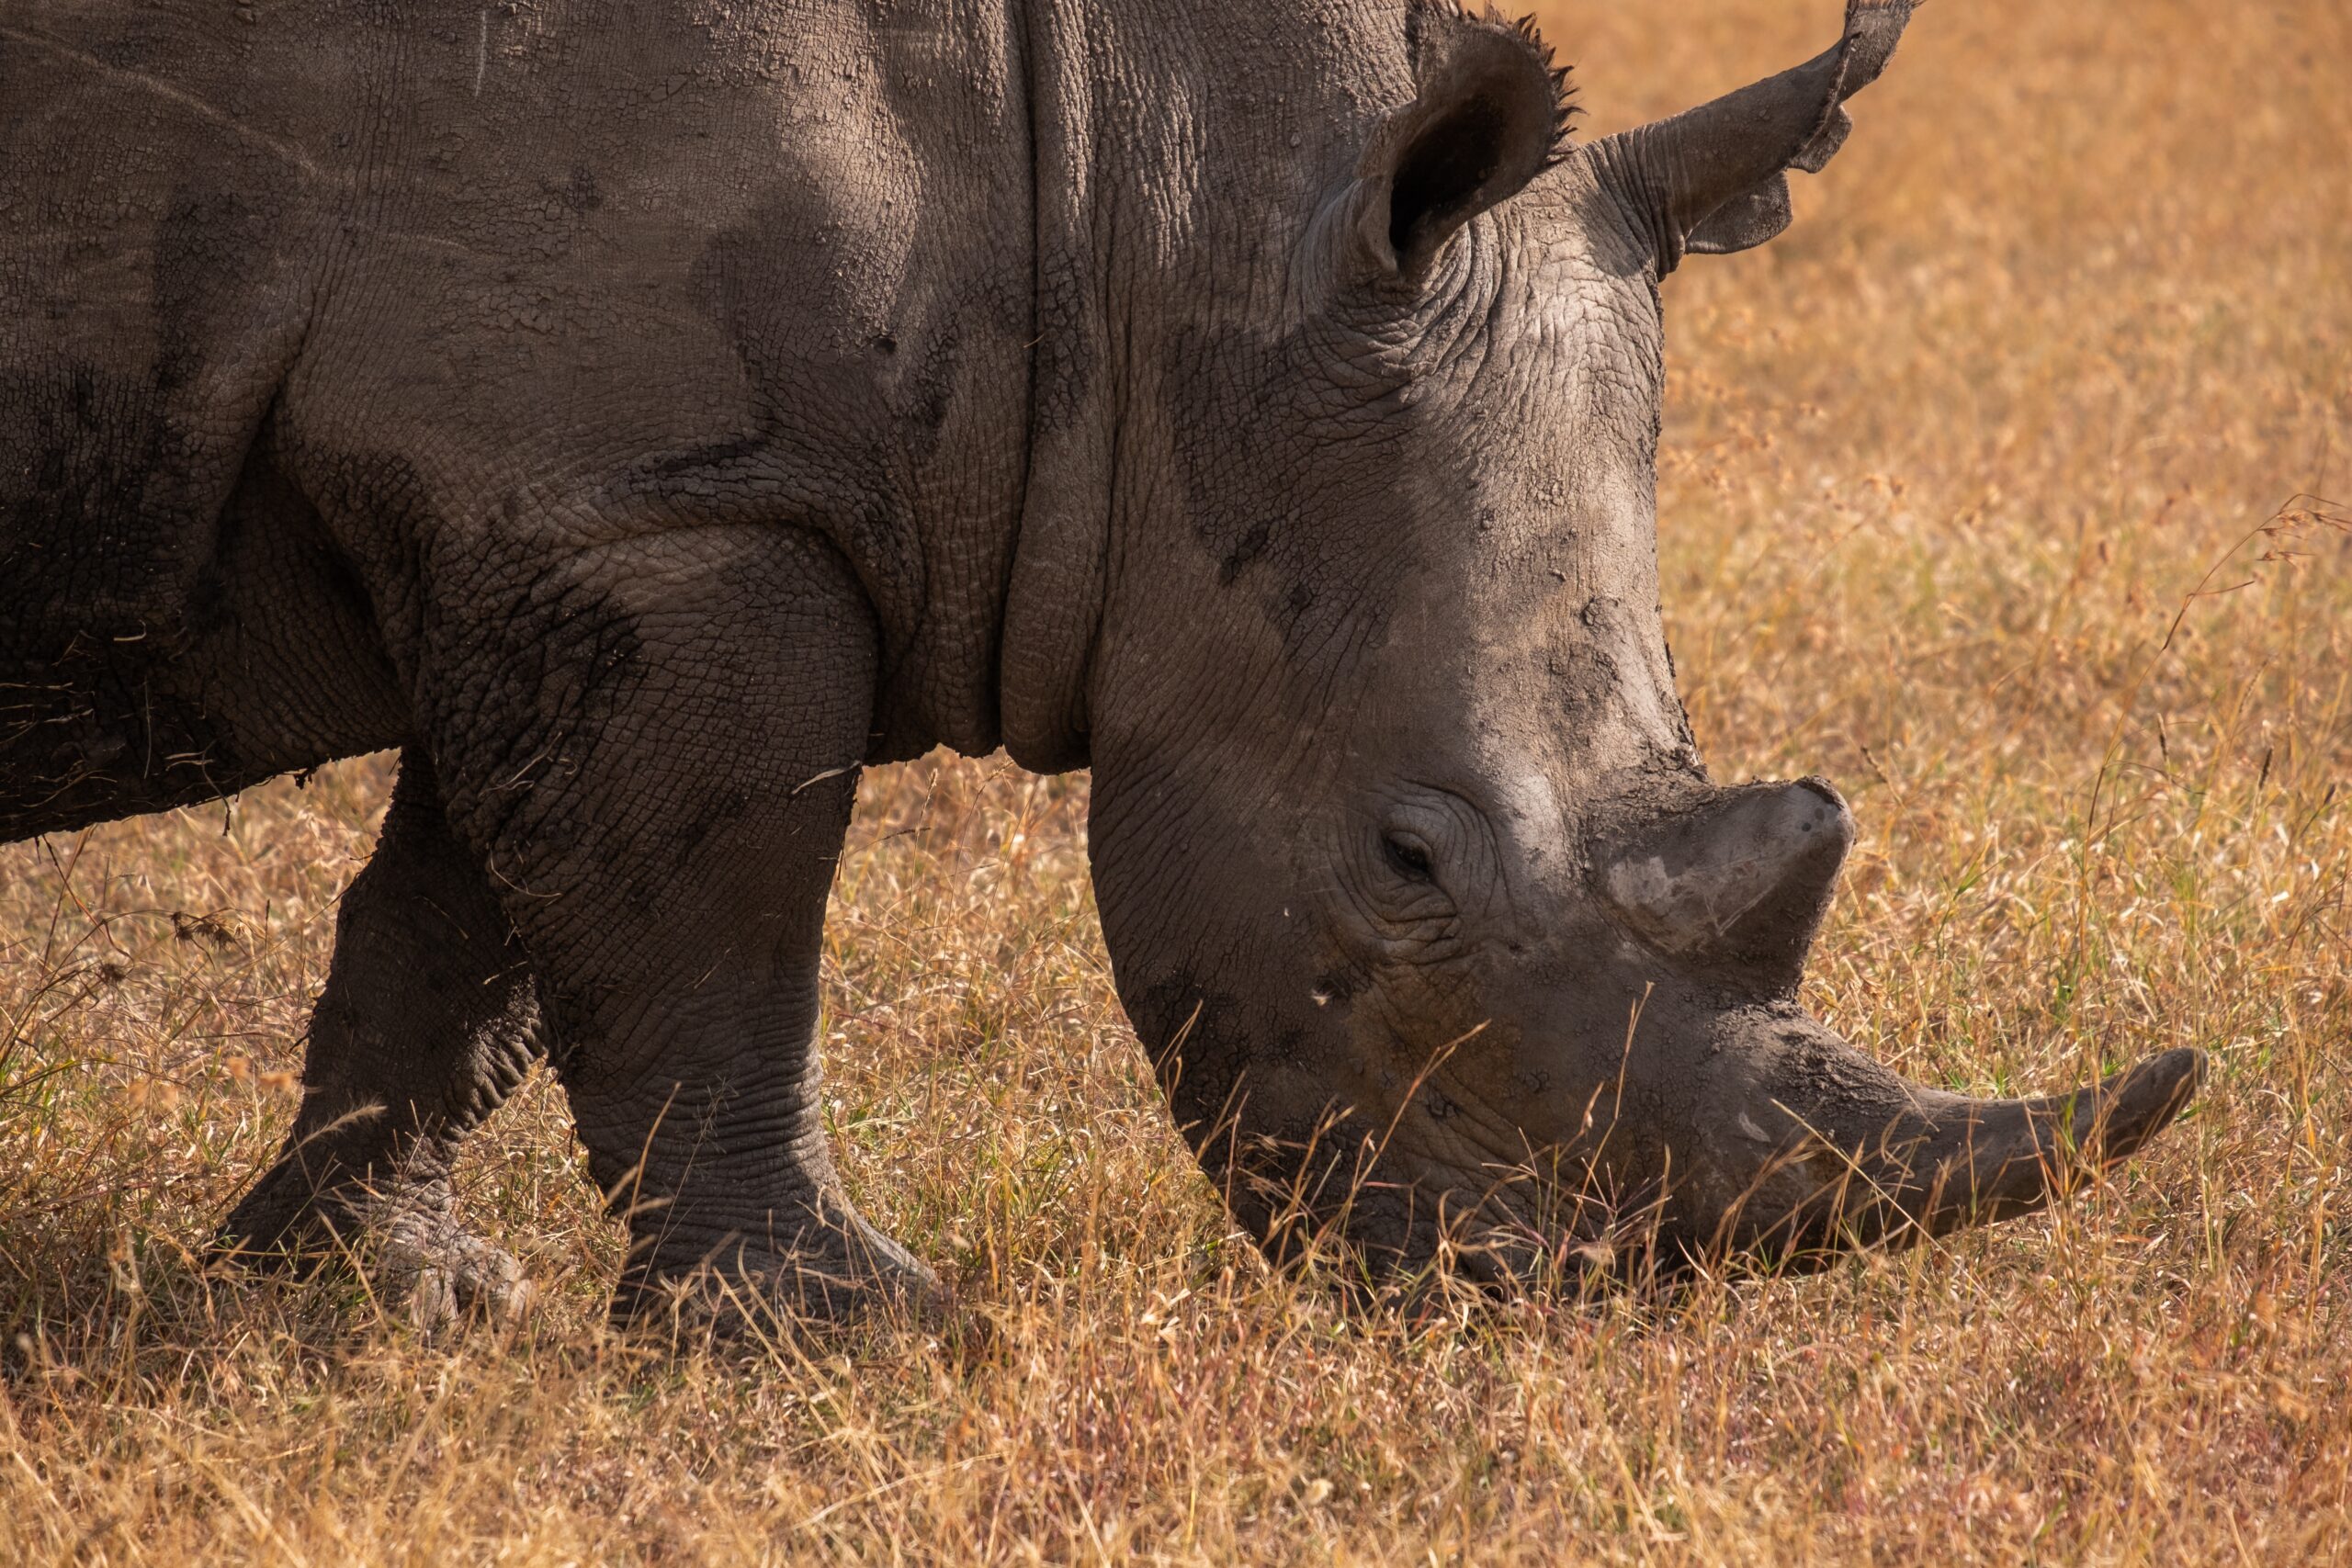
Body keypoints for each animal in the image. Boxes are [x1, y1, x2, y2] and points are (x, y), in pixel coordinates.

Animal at [0, 0, 2202, 1324]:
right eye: (1407, 861)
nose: (1535, 1299)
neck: (1136, 205)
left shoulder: (574, 497)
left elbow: (472, 933)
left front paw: (366, 1301)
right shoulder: (674, 500)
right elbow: (711, 926)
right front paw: (856, 1333)